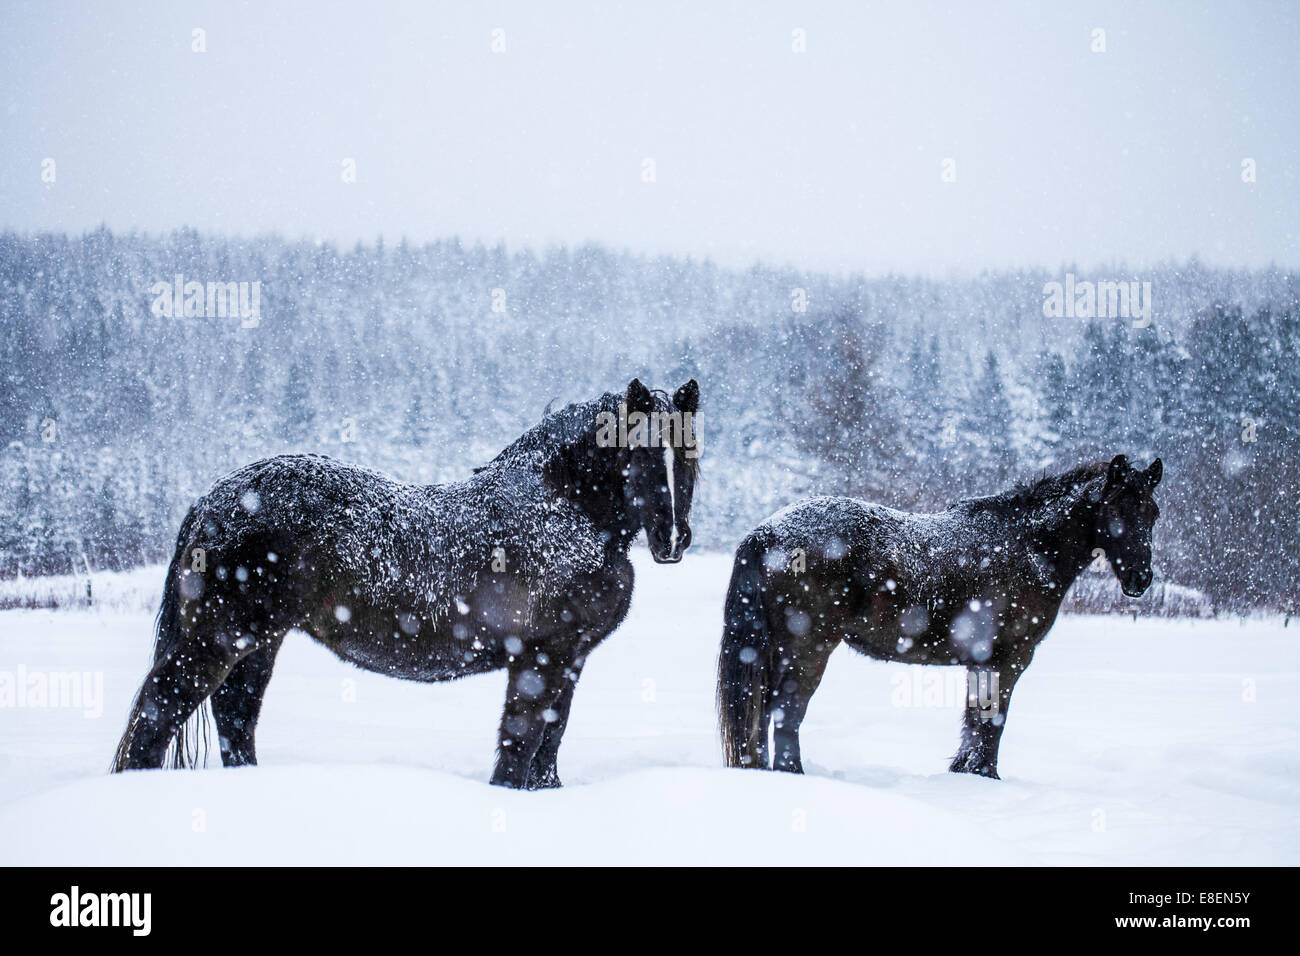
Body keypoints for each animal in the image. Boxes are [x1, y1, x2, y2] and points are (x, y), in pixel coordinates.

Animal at [111, 377, 702, 790]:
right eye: (641, 455)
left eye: (690, 453)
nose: (673, 539)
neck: (565, 507)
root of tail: (213, 500)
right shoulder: (540, 656)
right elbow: (521, 742)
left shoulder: (571, 658)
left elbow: (549, 744)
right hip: (220, 637)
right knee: (159, 711)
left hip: (259, 644)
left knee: (235, 718)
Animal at [722, 455, 1159, 780]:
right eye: (1115, 510)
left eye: (1152, 514)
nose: (1141, 579)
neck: (1027, 545)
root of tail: (768, 532)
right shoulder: (1009, 659)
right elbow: (992, 721)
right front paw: (985, 776)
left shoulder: (982, 662)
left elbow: (975, 719)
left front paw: (965, 773)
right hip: (807, 648)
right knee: (786, 710)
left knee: (764, 710)